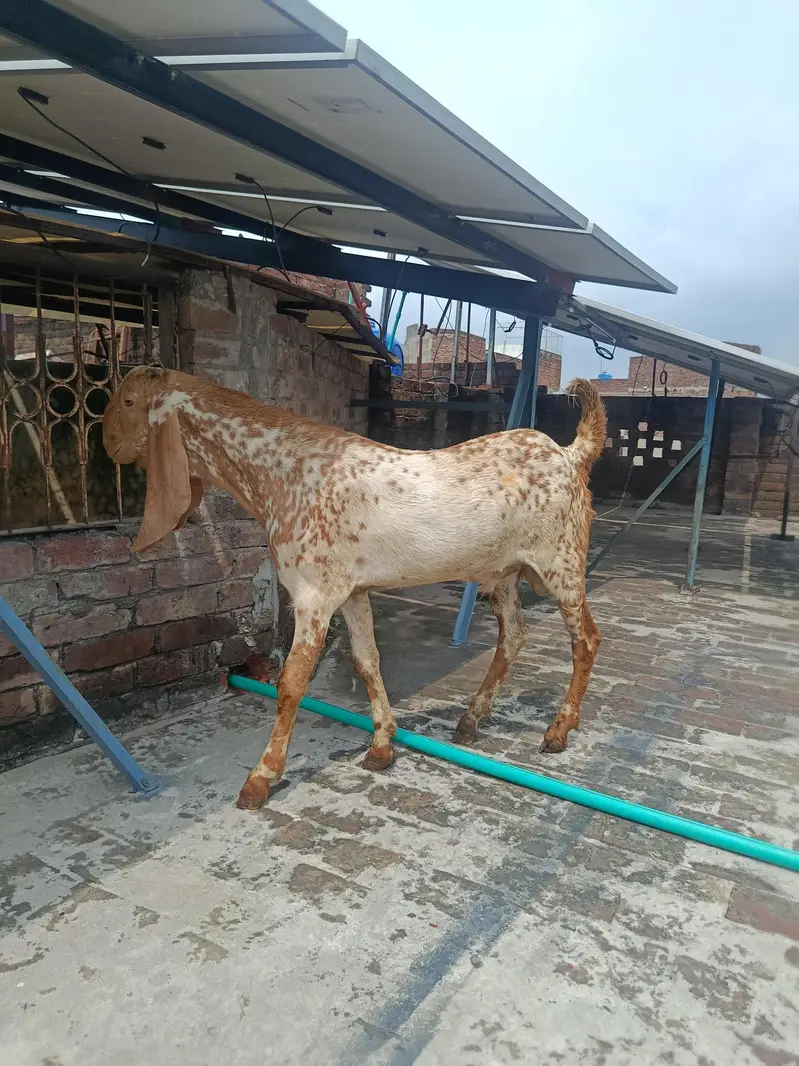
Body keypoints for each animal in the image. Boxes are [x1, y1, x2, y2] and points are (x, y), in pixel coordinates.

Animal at [103, 366, 607, 810]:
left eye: (128, 402)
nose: (108, 444)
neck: (284, 472)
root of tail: (571, 454)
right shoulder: (351, 592)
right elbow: (366, 662)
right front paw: (382, 745)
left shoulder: (314, 594)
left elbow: (292, 682)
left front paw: (262, 778)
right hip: (502, 573)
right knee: (515, 634)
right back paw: (471, 719)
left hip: (561, 564)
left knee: (586, 639)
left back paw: (558, 730)